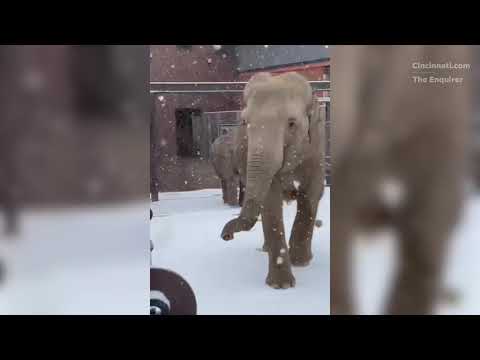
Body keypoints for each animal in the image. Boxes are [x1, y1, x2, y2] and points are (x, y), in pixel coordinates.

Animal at [219, 72, 324, 290]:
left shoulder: (316, 147)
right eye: (244, 122)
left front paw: (300, 262)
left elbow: (311, 192)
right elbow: (270, 200)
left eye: (291, 123)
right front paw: (280, 286)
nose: (226, 236)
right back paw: (267, 250)